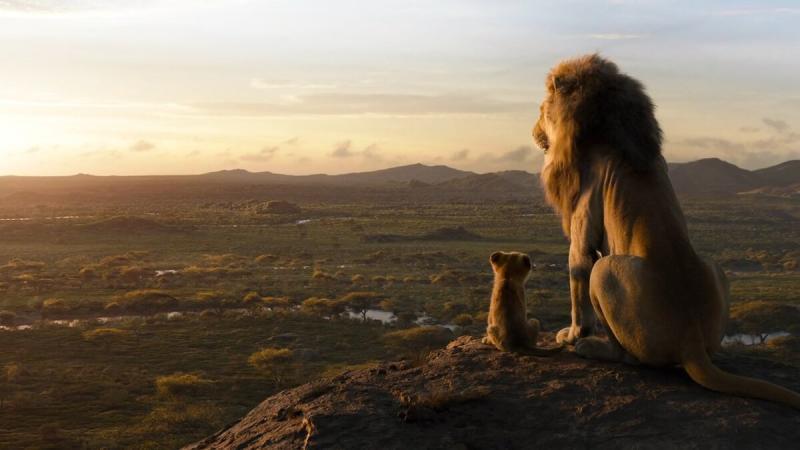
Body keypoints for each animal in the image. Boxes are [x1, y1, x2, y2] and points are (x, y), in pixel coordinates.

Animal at [532, 54, 800, 409]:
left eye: (540, 111)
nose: (534, 131)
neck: (605, 128)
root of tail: (691, 342)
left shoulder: (582, 223)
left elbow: (577, 269)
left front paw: (572, 334)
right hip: (714, 266)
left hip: (605, 272)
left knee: (629, 355)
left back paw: (591, 347)